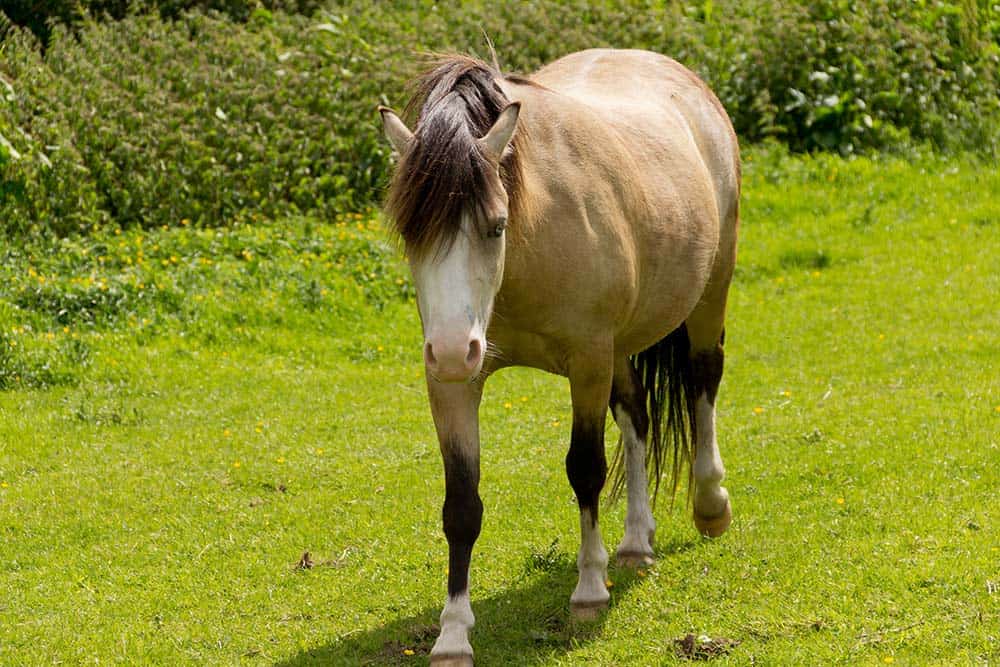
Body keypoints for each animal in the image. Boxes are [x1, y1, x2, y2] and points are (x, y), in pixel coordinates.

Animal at [378, 49, 740, 664]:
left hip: (708, 295)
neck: (531, 238)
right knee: (637, 417)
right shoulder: (455, 385)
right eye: (410, 234)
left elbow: (585, 469)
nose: (451, 350)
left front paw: (589, 590)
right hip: (619, 349)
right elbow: (461, 505)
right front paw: (453, 633)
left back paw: (710, 504)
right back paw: (636, 542)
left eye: (496, 225)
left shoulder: (587, 362)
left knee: (702, 381)